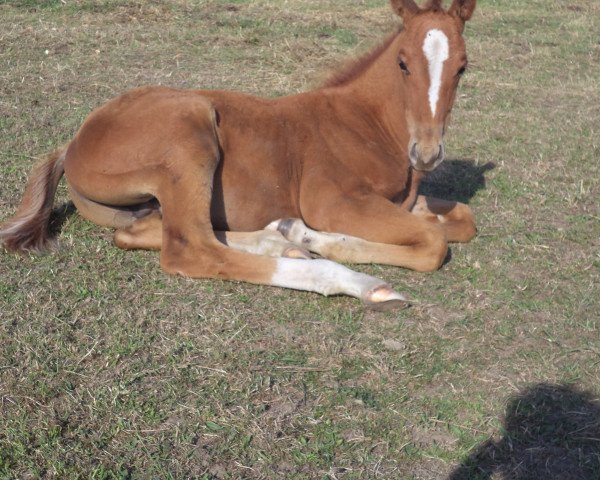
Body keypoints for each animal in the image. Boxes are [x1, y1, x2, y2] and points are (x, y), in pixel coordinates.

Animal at [0, 0, 478, 308]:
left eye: (462, 66)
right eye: (403, 62)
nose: (428, 153)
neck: (367, 123)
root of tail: (73, 143)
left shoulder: (406, 200)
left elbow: (462, 220)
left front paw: (302, 235)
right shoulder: (333, 200)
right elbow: (433, 243)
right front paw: (319, 239)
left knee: (143, 233)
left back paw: (282, 239)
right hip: (190, 133)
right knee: (191, 250)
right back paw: (353, 280)